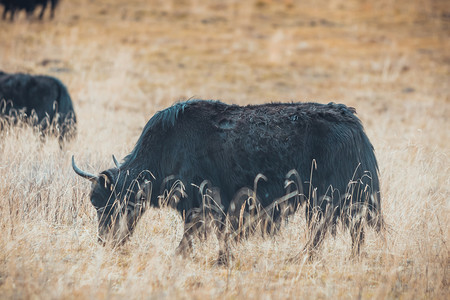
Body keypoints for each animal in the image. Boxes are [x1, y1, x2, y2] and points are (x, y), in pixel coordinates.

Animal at [73, 99, 384, 264]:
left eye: (102, 202)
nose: (104, 241)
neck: (165, 148)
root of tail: (352, 121)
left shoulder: (200, 200)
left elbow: (195, 231)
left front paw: (190, 256)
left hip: (335, 194)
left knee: (339, 228)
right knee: (341, 228)